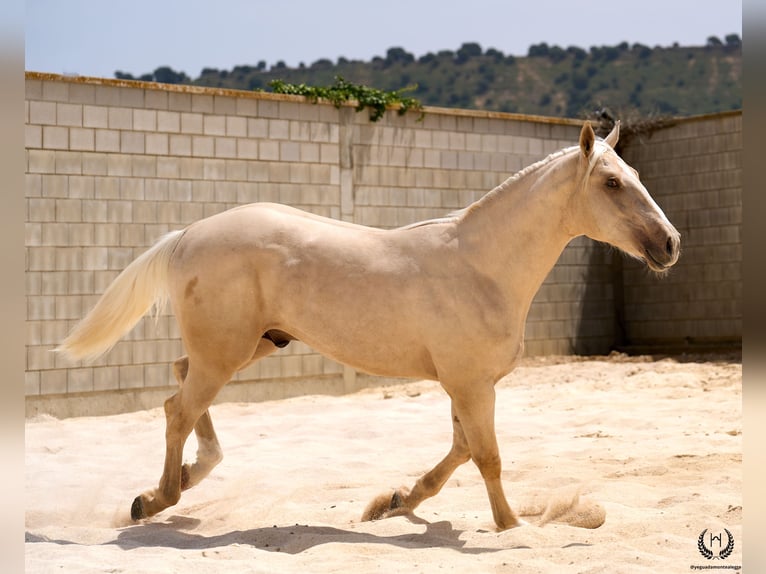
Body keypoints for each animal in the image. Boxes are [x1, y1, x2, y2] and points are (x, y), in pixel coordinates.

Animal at [56, 121, 680, 530]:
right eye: (611, 184)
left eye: (634, 172)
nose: (670, 243)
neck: (481, 265)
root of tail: (188, 234)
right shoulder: (472, 384)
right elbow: (486, 455)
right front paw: (510, 528)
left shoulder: (464, 385)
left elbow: (458, 452)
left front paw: (397, 503)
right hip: (226, 354)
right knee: (177, 411)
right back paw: (155, 499)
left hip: (249, 346)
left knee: (178, 384)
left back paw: (187, 478)